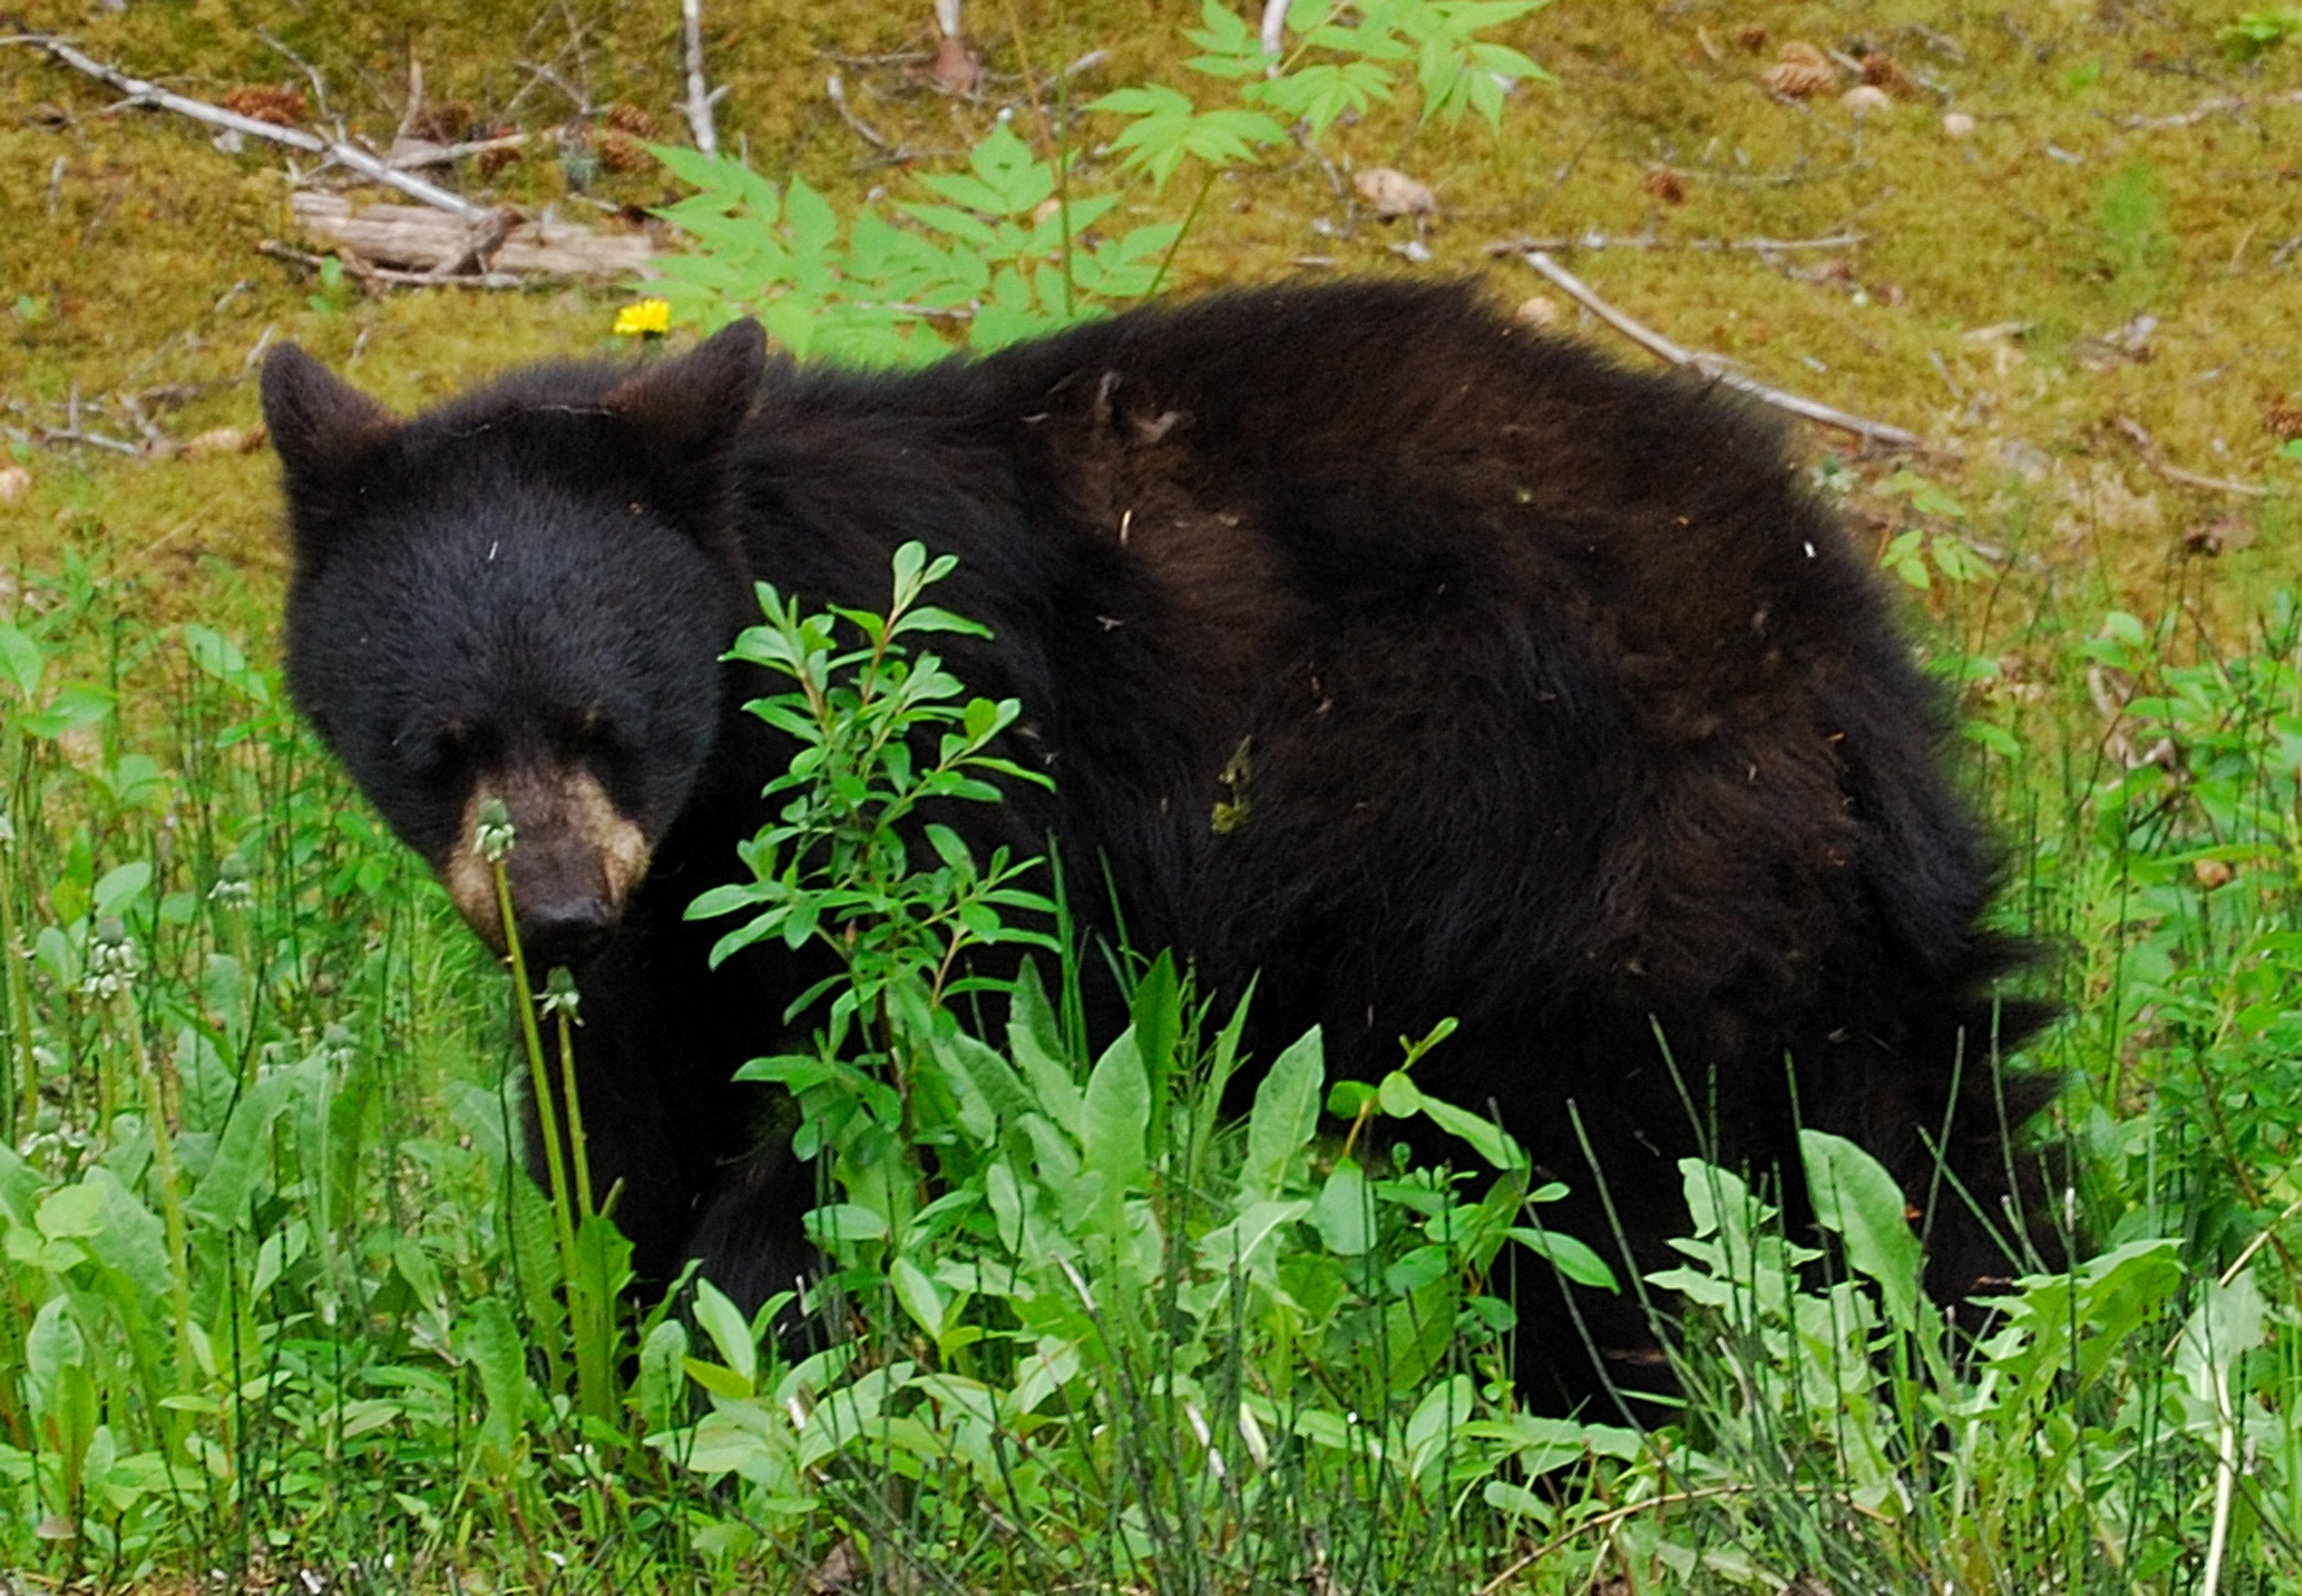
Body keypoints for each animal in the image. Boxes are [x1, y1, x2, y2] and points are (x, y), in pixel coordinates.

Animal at [264, 277, 2053, 1409]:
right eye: (440, 747)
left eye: (604, 724)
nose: (556, 910)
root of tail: (1832, 647)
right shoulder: (672, 915)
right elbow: (620, 1120)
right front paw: (602, 1362)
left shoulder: (957, 778)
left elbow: (907, 1066)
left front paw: (739, 1335)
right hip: (1776, 923)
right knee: (1917, 1127)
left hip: (1600, 872)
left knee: (1623, 1184)